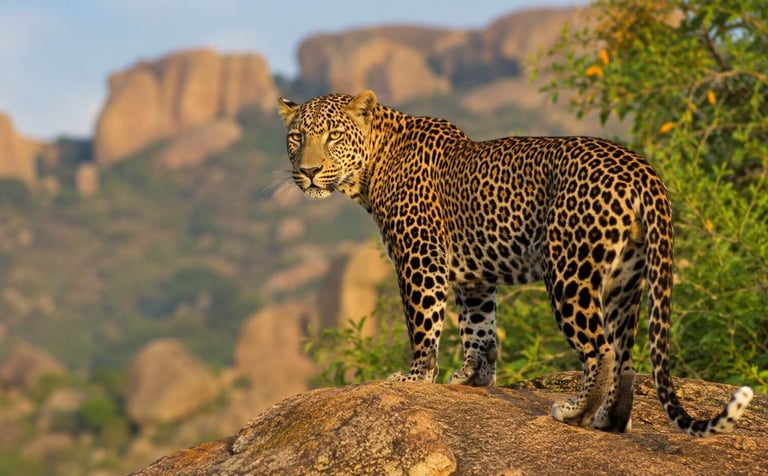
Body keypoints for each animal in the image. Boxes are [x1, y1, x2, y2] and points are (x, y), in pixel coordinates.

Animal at [277, 90, 753, 437]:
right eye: (297, 137)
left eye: (334, 136)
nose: (309, 171)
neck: (372, 164)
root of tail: (641, 169)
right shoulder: (474, 276)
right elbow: (479, 328)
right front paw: (472, 378)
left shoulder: (420, 257)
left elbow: (423, 323)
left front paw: (415, 378)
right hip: (625, 277)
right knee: (625, 356)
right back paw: (609, 422)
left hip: (569, 271)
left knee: (599, 350)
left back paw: (575, 414)